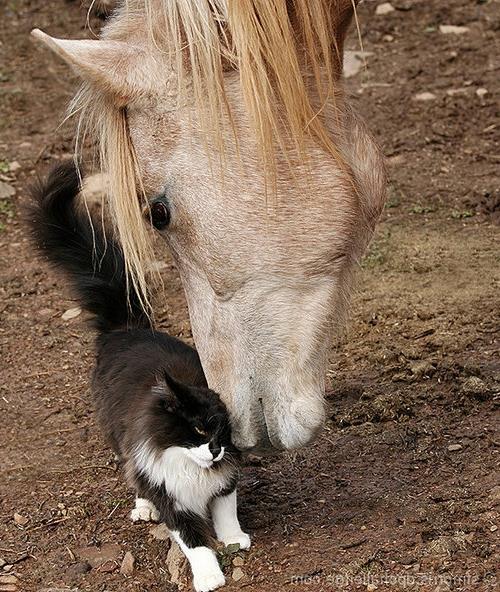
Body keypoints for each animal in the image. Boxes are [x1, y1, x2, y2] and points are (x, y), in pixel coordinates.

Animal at [30, 162, 249, 592]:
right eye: (199, 430)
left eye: (222, 432)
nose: (216, 450)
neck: (187, 465)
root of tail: (127, 329)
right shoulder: (172, 498)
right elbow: (195, 542)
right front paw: (210, 578)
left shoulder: (223, 481)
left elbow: (226, 509)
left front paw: (235, 539)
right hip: (117, 436)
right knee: (132, 472)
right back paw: (143, 507)